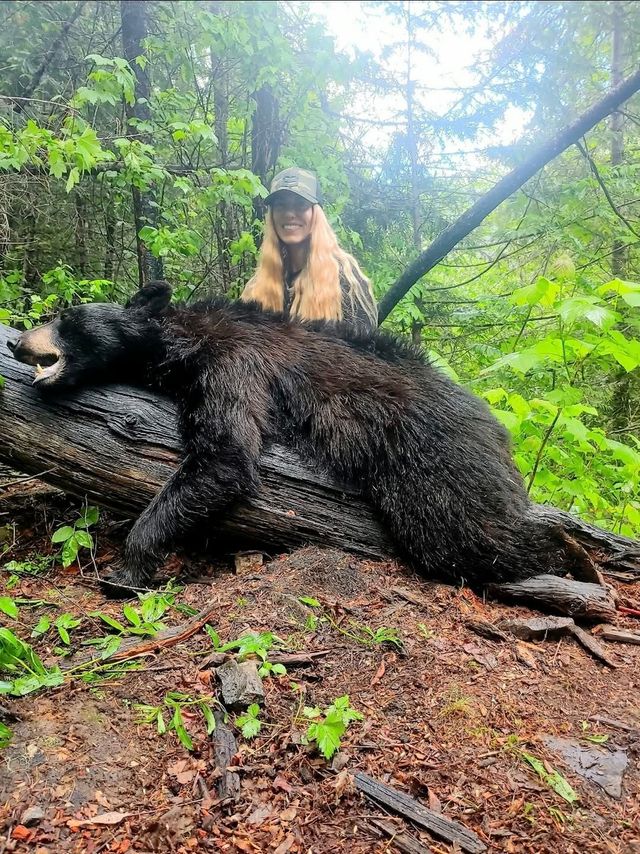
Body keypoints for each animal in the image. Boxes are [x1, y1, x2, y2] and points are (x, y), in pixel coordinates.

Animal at [8, 281, 569, 595]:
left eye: (65, 317)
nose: (17, 343)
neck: (180, 341)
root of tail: (501, 438)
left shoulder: (234, 364)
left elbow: (225, 458)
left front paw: (125, 570)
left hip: (431, 466)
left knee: (466, 538)